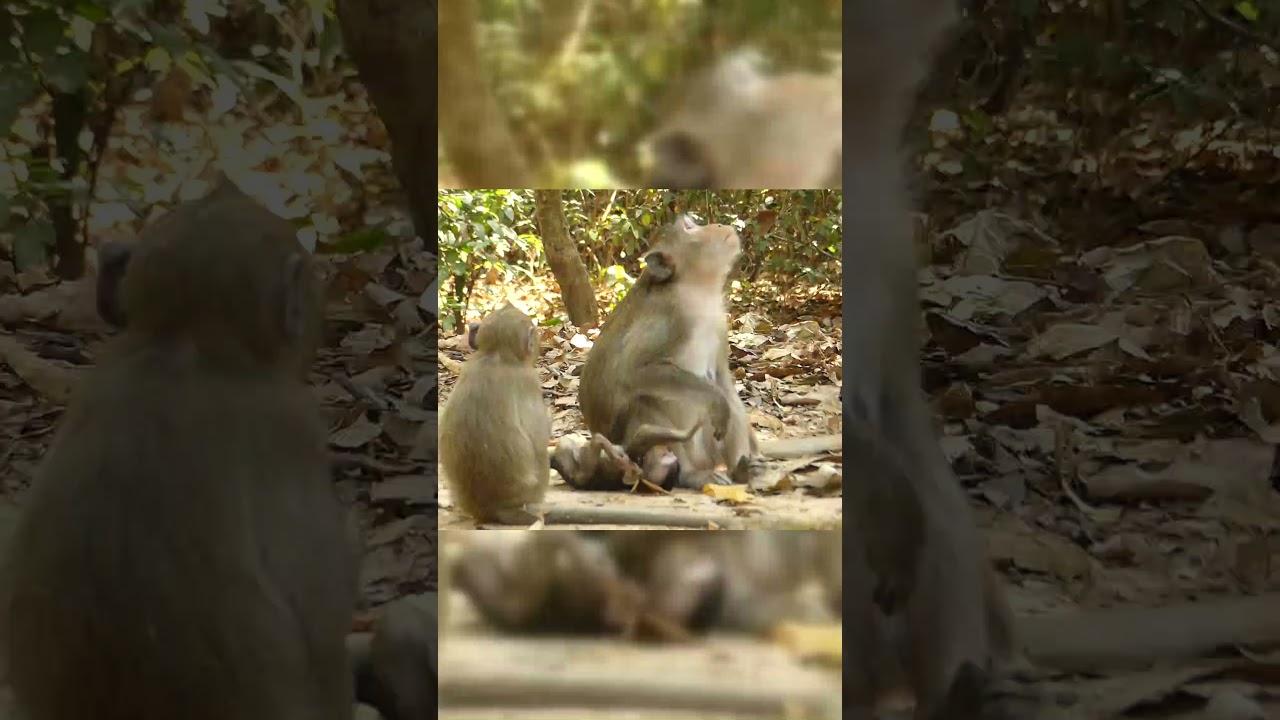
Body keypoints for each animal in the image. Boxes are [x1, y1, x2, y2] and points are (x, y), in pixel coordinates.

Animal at [578, 213, 759, 491]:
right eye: (690, 228)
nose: (718, 225)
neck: (696, 290)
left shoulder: (719, 322)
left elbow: (724, 383)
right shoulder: (671, 315)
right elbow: (633, 372)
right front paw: (715, 399)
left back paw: (741, 469)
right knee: (642, 403)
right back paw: (691, 475)